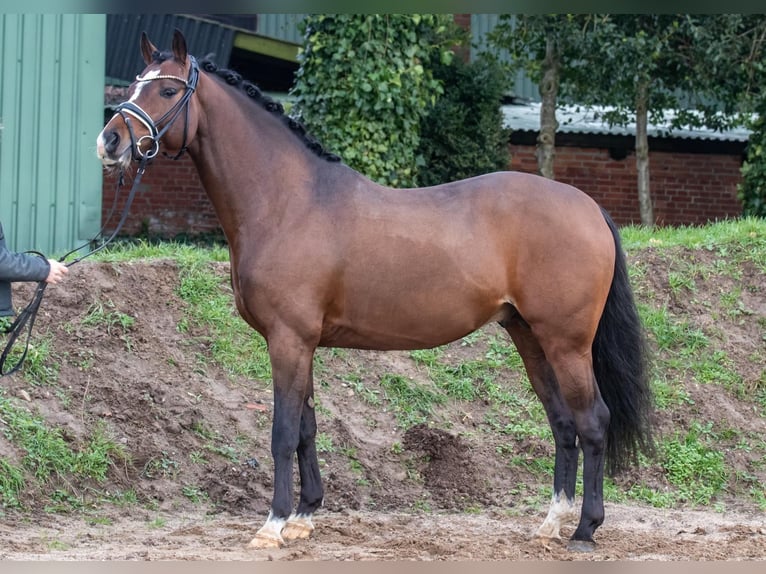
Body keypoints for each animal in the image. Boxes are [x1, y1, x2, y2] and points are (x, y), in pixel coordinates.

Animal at [97, 30, 656, 552]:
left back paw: (585, 529)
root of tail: (587, 206)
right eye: (133, 85)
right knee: (562, 423)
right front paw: (303, 517)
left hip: (566, 343)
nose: (110, 143)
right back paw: (551, 523)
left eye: (168, 90)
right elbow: (307, 428)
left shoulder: (288, 340)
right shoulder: (301, 343)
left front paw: (272, 526)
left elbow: (282, 431)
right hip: (529, 336)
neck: (288, 201)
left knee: (592, 421)